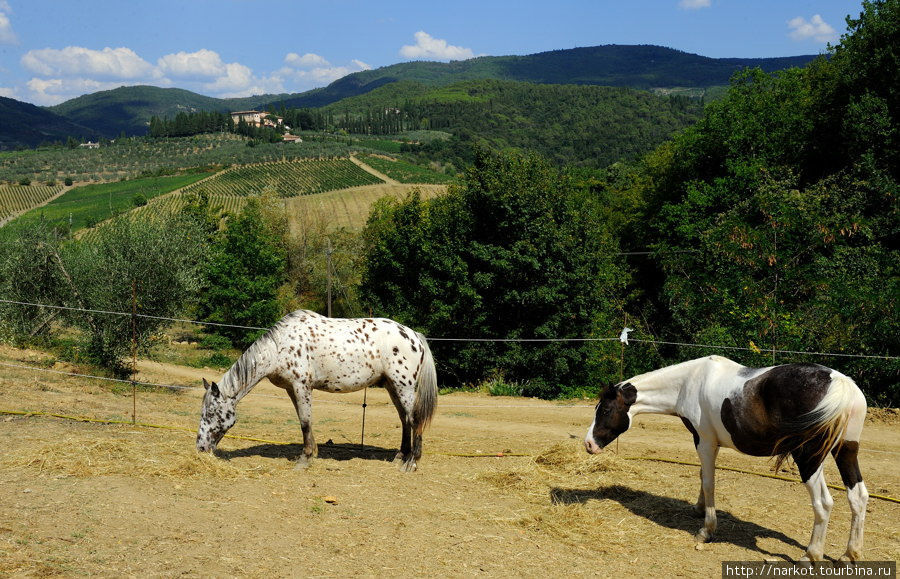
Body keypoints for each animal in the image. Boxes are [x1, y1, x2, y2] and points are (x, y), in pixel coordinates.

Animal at [198, 310, 440, 474]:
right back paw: (400, 457)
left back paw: (412, 463)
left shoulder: (301, 386)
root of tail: (415, 336)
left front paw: (304, 459)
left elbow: (305, 422)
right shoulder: (291, 389)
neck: (278, 347)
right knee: (405, 420)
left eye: (210, 413)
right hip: (392, 386)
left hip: (404, 387)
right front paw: (312, 452)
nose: (200, 447)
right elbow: (303, 421)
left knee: (415, 420)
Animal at [588, 356, 868, 564]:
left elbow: (709, 481)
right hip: (845, 451)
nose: (589, 444)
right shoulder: (706, 443)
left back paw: (811, 555)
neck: (689, 382)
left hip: (809, 459)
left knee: (824, 503)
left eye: (605, 410)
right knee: (858, 497)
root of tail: (840, 383)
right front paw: (698, 508)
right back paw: (849, 555)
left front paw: (706, 530)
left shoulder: (704, 441)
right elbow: (702, 475)